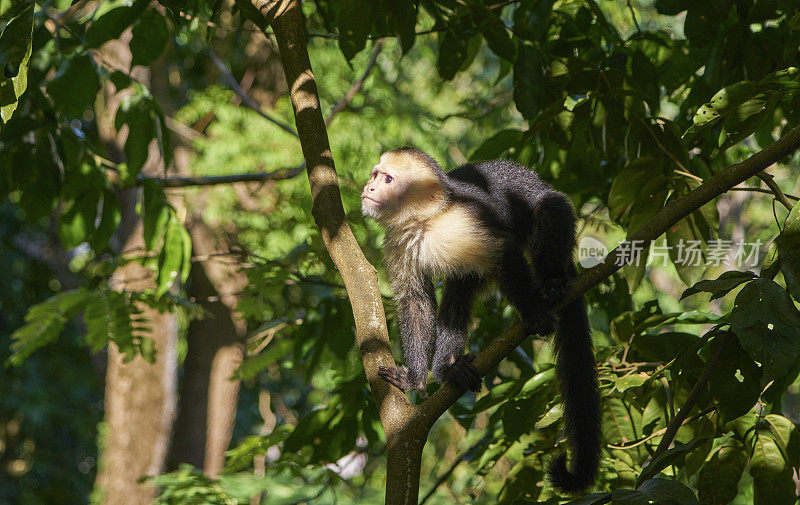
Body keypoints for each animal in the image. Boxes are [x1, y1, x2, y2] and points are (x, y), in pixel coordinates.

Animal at [362, 147, 600, 492]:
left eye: (388, 179)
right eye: (374, 174)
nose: (368, 188)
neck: (427, 219)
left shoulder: (464, 220)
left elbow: (505, 250)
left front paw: (535, 316)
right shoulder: (399, 239)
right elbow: (416, 302)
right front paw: (416, 379)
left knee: (548, 209)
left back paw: (554, 282)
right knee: (459, 288)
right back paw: (450, 367)